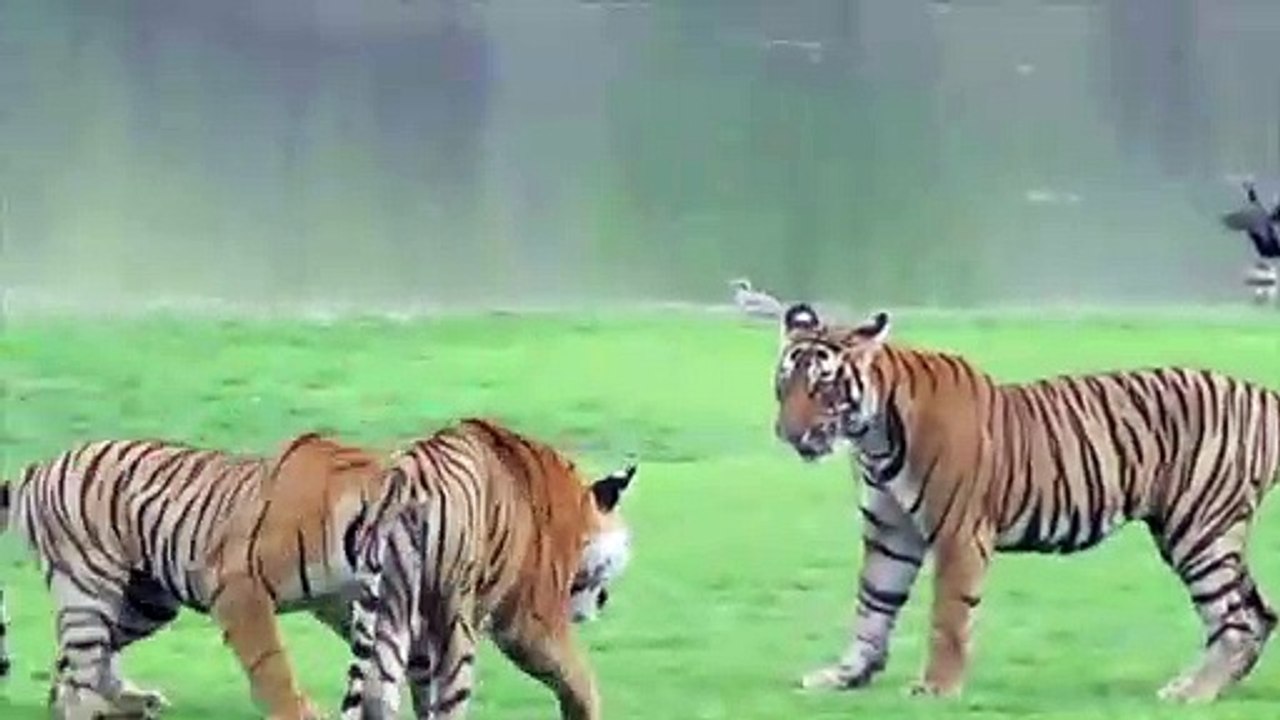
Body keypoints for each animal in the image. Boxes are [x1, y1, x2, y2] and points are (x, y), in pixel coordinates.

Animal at [0, 432, 422, 720]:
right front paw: (298, 712)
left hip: (145, 603)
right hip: (89, 586)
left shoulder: (340, 602)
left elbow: (379, 655)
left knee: (72, 667)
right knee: (81, 668)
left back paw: (132, 703)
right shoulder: (239, 588)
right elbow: (272, 664)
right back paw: (102, 708)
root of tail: (43, 467)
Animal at [334, 417, 638, 720]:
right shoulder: (531, 623)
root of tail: (401, 484)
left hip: (389, 609)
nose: (603, 599)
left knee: (379, 692)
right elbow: (579, 680)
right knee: (450, 700)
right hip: (454, 622)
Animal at [772, 302, 1280, 703]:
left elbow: (948, 617)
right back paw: (1213, 686)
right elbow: (872, 606)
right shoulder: (890, 533)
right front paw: (846, 675)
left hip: (1198, 531)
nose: (787, 433)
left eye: (824, 386)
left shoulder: (959, 533)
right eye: (784, 384)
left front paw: (936, 688)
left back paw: (1192, 691)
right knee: (1259, 614)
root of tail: (1259, 392)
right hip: (1208, 533)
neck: (873, 438)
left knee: (1234, 619)